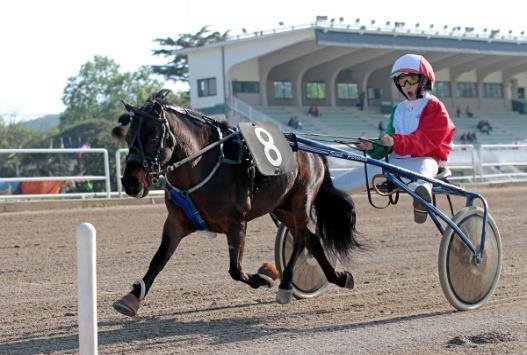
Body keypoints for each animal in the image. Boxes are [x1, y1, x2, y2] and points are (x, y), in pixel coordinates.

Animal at [111, 91, 358, 318]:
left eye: (152, 137)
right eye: (129, 137)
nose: (130, 183)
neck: (202, 164)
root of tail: (312, 150)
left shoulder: (237, 224)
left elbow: (235, 270)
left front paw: (264, 277)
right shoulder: (176, 222)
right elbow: (158, 261)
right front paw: (131, 298)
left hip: (301, 201)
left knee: (299, 239)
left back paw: (287, 285)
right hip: (281, 206)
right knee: (311, 239)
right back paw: (339, 277)